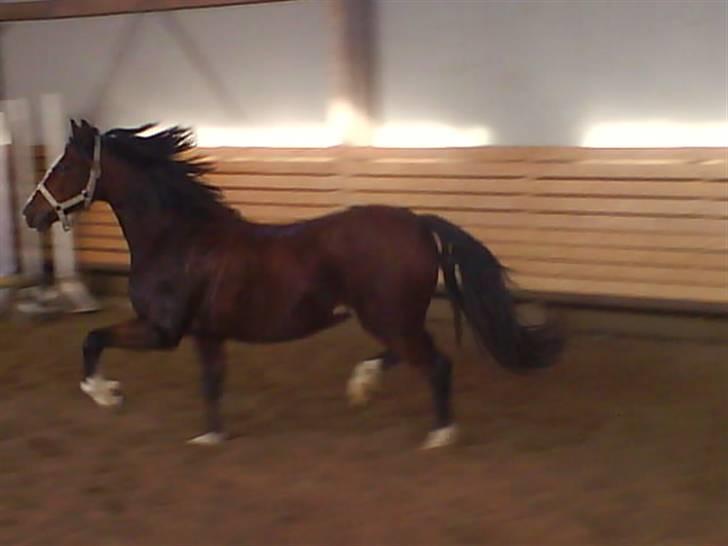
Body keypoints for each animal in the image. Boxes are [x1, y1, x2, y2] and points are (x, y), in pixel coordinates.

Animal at [22, 120, 563, 449]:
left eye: (65, 166)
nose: (30, 213)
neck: (179, 237)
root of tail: (417, 222)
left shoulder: (162, 330)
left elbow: (93, 338)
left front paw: (105, 393)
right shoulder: (206, 334)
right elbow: (211, 383)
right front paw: (209, 438)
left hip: (388, 314)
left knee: (434, 363)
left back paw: (439, 435)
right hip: (388, 316)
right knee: (406, 355)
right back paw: (363, 385)